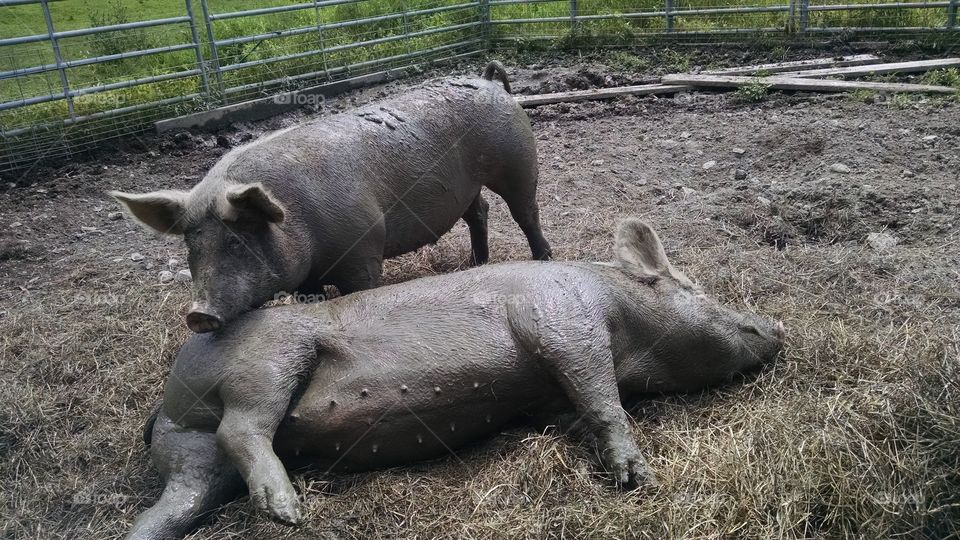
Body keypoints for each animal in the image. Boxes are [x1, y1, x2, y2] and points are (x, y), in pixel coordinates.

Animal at [109, 60, 552, 334]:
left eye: (237, 242)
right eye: (191, 248)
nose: (198, 315)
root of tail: (489, 80)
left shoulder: (364, 250)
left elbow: (362, 292)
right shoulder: (305, 278)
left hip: (516, 161)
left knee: (525, 211)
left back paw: (544, 258)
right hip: (467, 187)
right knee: (480, 211)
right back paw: (478, 263)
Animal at [125, 219, 788, 540]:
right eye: (693, 287)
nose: (778, 326)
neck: (628, 332)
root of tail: (169, 399)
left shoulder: (546, 394)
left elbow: (572, 411)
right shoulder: (561, 318)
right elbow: (600, 395)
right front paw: (638, 478)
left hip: (190, 451)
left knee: (177, 500)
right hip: (271, 358)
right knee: (243, 428)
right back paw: (288, 511)